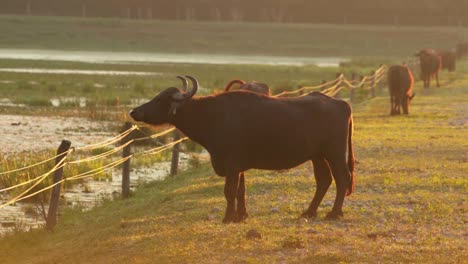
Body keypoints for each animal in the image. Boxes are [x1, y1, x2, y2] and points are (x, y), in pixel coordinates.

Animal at [130, 76, 356, 223]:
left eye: (160, 99)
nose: (134, 111)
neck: (212, 116)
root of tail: (341, 103)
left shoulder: (231, 164)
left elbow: (229, 190)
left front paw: (228, 217)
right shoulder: (238, 166)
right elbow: (240, 190)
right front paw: (241, 215)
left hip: (334, 153)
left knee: (342, 178)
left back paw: (334, 213)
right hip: (317, 156)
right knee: (324, 180)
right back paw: (309, 212)